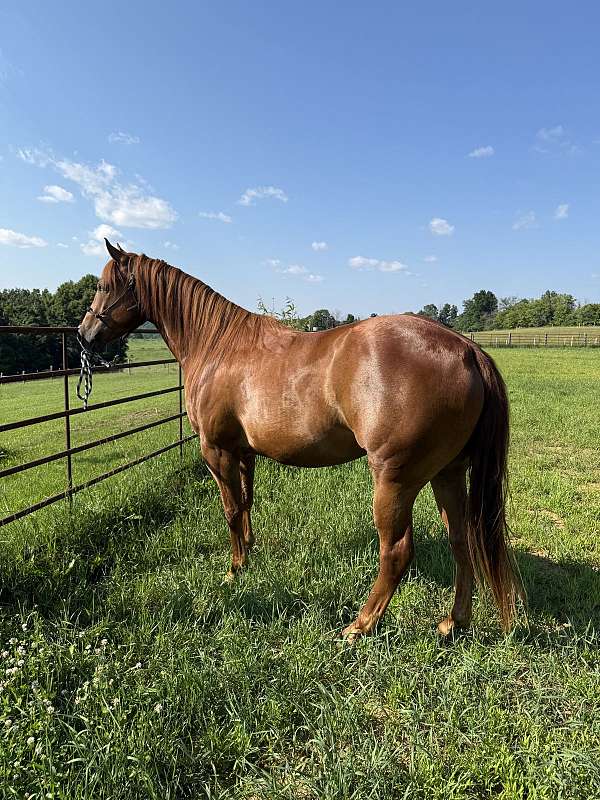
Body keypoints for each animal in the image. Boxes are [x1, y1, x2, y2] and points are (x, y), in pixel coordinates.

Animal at [77, 239, 520, 638]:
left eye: (102, 285)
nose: (84, 334)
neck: (219, 346)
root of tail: (465, 349)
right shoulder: (243, 453)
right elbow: (246, 504)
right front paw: (248, 555)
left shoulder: (217, 451)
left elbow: (230, 510)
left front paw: (233, 572)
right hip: (448, 474)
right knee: (461, 541)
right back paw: (453, 622)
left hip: (395, 479)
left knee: (396, 552)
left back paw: (360, 625)